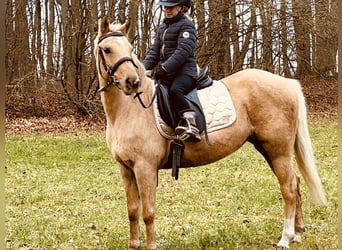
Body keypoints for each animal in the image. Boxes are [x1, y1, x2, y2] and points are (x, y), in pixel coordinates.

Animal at [93, 16, 326, 249]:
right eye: (107, 49)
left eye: (130, 49)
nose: (132, 82)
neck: (131, 109)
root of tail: (287, 83)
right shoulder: (126, 169)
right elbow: (133, 211)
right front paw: (134, 244)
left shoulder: (145, 168)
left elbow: (148, 212)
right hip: (268, 150)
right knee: (296, 184)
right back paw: (298, 233)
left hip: (278, 151)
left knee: (288, 188)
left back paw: (285, 238)